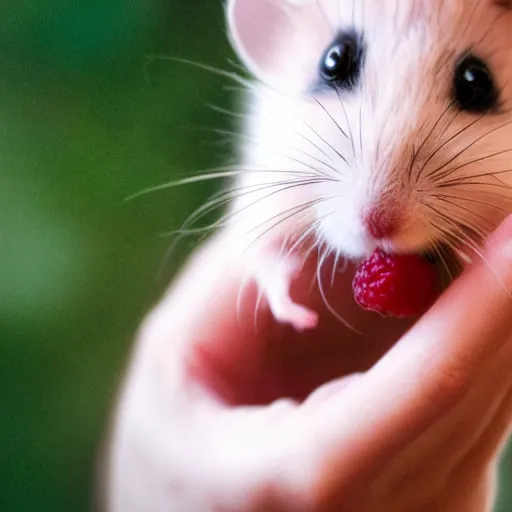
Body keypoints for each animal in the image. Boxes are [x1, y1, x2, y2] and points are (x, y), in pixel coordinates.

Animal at [207, 0, 512, 332]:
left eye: (477, 82)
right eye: (333, 59)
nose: (377, 225)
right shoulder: (262, 193)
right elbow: (264, 256)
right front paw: (303, 318)